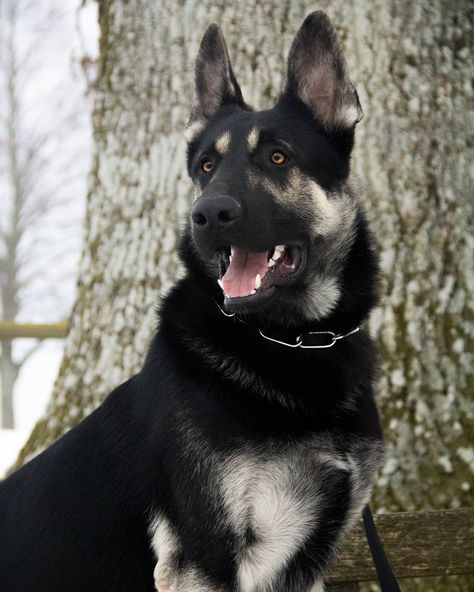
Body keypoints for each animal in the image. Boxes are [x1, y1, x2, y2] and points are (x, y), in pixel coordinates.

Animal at [0, 10, 386, 592]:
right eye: (206, 166)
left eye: (278, 157)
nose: (206, 216)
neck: (297, 339)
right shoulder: (204, 561)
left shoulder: (306, 564)